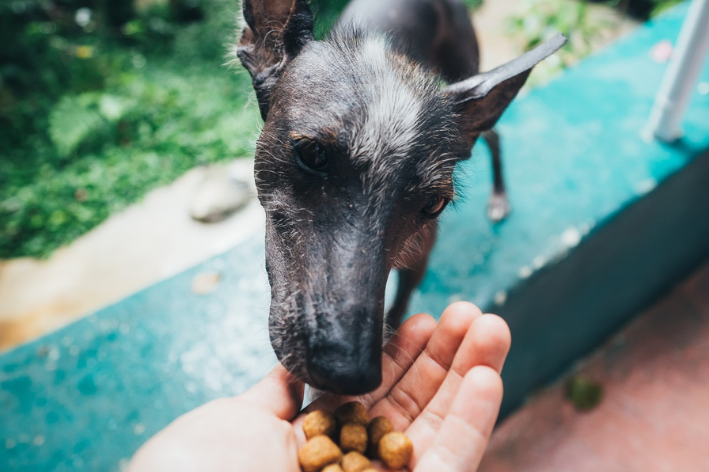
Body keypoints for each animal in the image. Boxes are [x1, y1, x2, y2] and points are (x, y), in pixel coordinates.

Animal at [232, 0, 564, 394]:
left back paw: (499, 196)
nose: (348, 371)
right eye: (313, 153)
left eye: (434, 203)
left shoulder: (418, 262)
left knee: (494, 136)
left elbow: (399, 308)